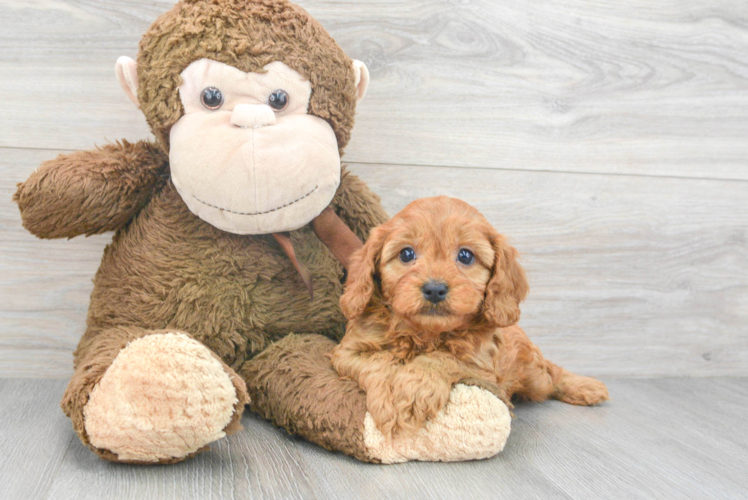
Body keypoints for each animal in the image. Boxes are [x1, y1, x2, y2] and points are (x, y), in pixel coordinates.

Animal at [332, 195, 608, 438]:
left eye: (465, 256)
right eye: (406, 254)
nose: (435, 289)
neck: (424, 333)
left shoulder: (480, 364)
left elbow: (441, 358)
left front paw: (413, 390)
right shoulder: (347, 352)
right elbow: (379, 362)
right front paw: (391, 397)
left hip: (533, 375)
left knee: (552, 373)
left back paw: (586, 387)